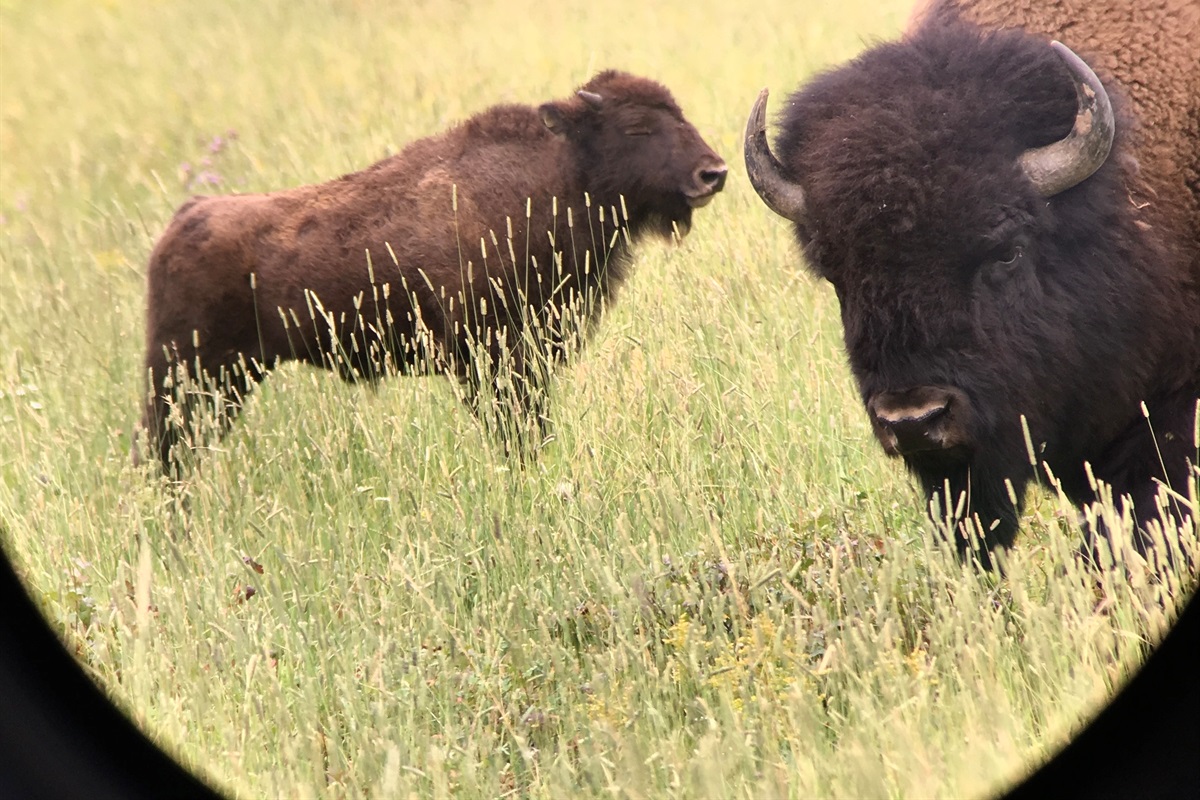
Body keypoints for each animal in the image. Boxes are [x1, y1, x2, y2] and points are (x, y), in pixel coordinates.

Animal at [139, 70, 727, 473]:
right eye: (637, 127)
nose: (713, 173)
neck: (559, 176)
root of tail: (184, 219)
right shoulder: (492, 358)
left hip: (230, 378)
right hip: (187, 375)